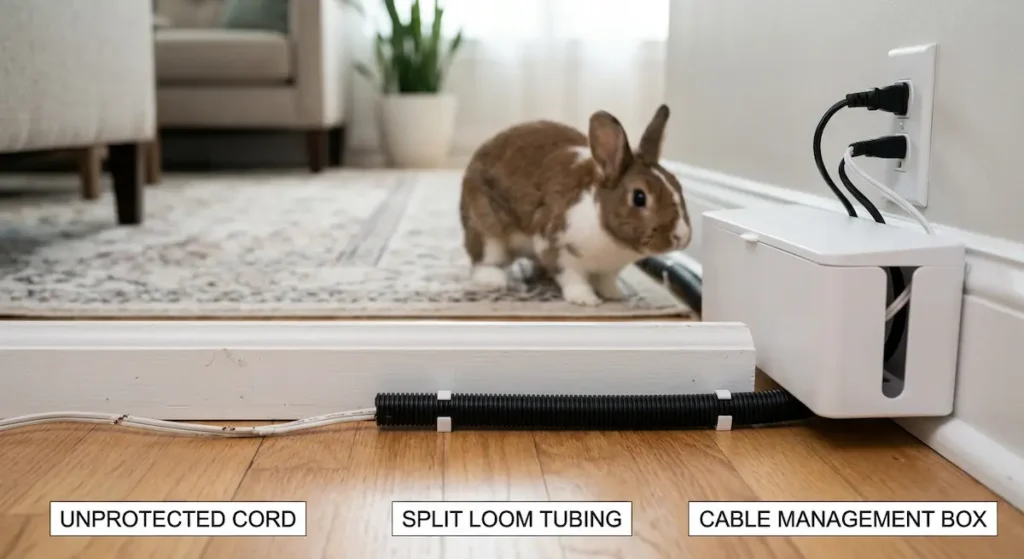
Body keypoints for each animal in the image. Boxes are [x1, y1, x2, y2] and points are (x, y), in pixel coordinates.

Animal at [458, 104, 692, 306]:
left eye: (678, 185)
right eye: (639, 197)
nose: (681, 237)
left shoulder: (609, 270)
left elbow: (607, 281)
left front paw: (616, 295)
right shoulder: (557, 248)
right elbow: (573, 278)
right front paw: (586, 300)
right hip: (486, 230)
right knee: (485, 260)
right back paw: (493, 282)